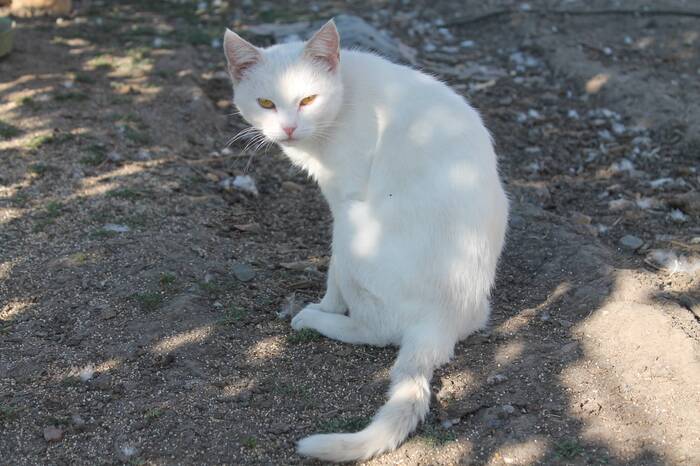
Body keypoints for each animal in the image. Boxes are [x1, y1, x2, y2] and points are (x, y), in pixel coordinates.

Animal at [224, 19, 508, 462]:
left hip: (353, 226)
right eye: (266, 103)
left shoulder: (343, 198)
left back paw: (315, 320)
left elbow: (333, 276)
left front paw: (325, 305)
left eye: (308, 100)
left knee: (375, 330)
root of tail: (440, 324)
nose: (288, 128)